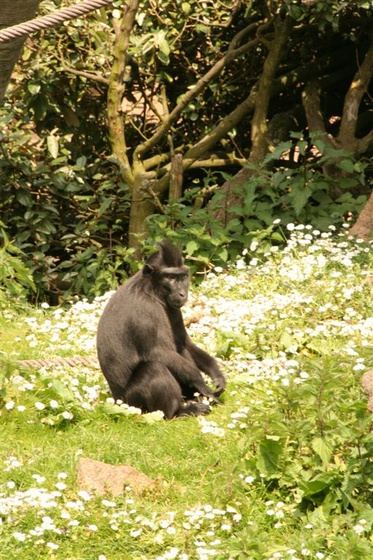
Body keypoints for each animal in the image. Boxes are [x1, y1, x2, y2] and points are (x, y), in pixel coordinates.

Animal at [96, 243, 224, 418]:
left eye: (182, 277)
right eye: (170, 277)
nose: (182, 293)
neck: (150, 290)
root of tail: (116, 400)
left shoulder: (173, 308)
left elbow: (185, 343)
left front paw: (217, 375)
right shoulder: (146, 311)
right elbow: (157, 352)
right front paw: (202, 385)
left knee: (179, 349)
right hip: (133, 402)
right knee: (154, 368)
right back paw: (178, 411)